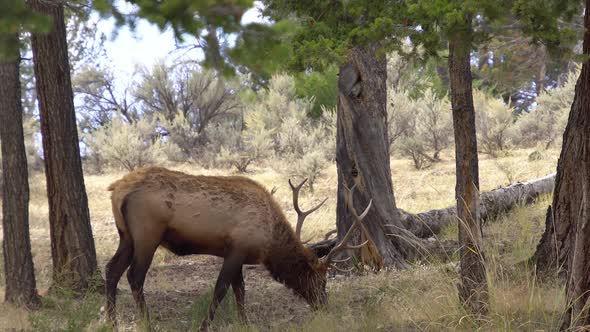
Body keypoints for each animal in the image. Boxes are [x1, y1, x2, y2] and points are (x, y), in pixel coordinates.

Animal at [104, 167, 372, 330]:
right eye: (321, 280)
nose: (324, 305)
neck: (269, 244)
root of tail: (116, 190)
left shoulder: (238, 255)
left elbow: (240, 291)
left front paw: (245, 323)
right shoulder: (237, 249)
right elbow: (221, 290)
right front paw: (204, 326)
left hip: (126, 236)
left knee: (111, 270)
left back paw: (112, 322)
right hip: (147, 234)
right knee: (134, 276)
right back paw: (146, 323)